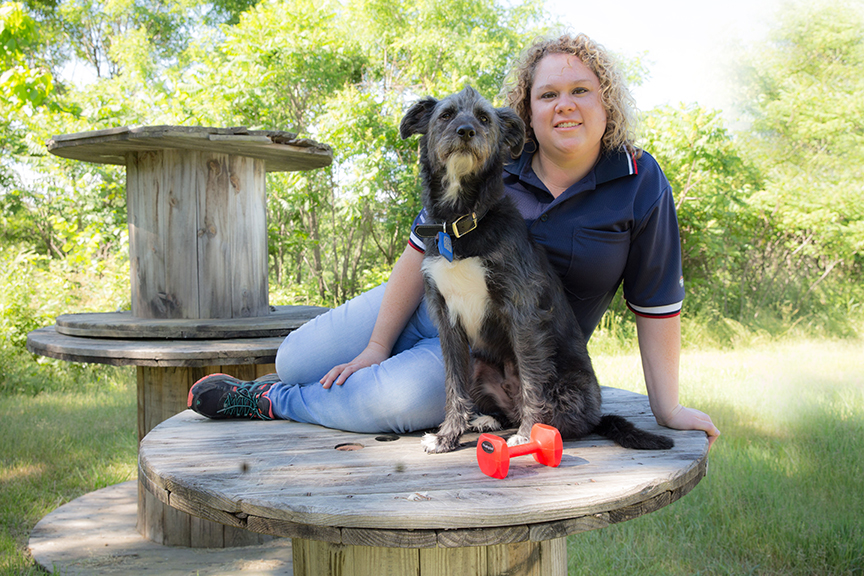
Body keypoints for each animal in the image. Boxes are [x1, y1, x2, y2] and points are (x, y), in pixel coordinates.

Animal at [400, 85, 676, 454]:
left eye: (484, 118)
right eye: (446, 115)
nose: (466, 132)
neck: (460, 223)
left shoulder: (522, 311)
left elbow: (532, 378)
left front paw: (529, 434)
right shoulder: (447, 320)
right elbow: (453, 385)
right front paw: (447, 436)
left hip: (568, 386)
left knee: (567, 419)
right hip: (480, 366)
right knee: (501, 408)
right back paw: (489, 419)